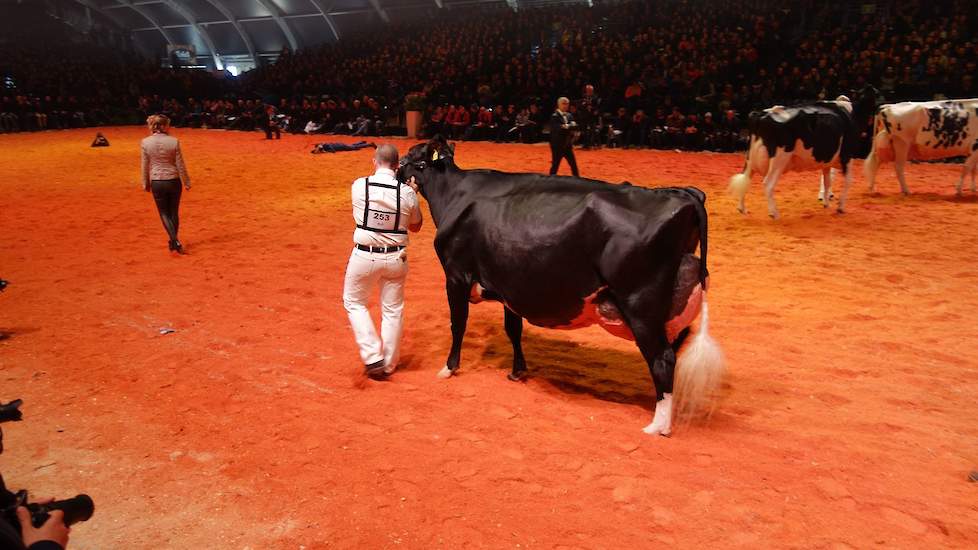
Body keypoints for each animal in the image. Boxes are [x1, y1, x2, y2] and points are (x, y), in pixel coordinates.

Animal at [396, 137, 724, 436]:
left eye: (411, 155)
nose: (397, 167)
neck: (454, 193)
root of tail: (681, 193)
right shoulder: (509, 285)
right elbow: (513, 329)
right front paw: (517, 372)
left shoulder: (456, 275)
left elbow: (458, 323)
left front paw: (449, 368)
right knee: (676, 347)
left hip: (640, 302)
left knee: (663, 357)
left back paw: (658, 425)